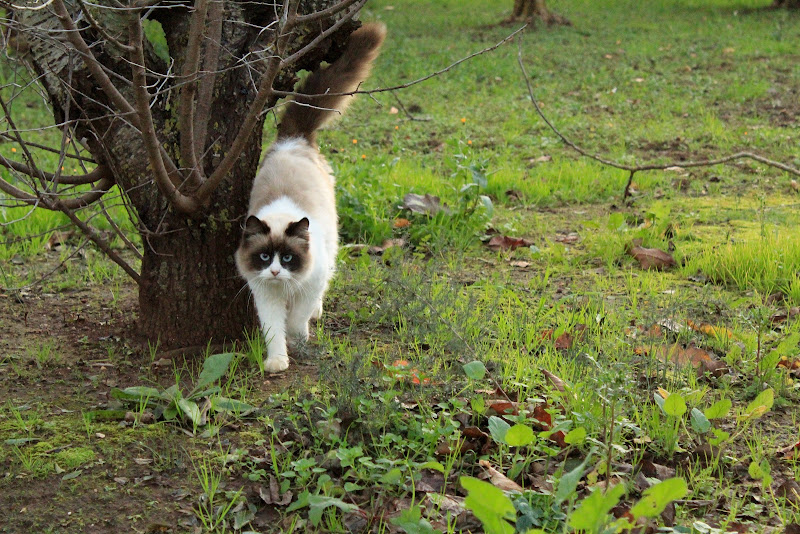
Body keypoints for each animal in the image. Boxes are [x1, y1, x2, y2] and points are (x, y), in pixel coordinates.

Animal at [234, 23, 388, 374]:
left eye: (288, 258)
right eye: (265, 258)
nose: (275, 272)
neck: (284, 287)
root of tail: (292, 139)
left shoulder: (309, 283)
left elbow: (295, 320)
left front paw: (299, 338)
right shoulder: (266, 295)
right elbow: (274, 330)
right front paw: (277, 362)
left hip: (329, 246)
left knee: (322, 286)